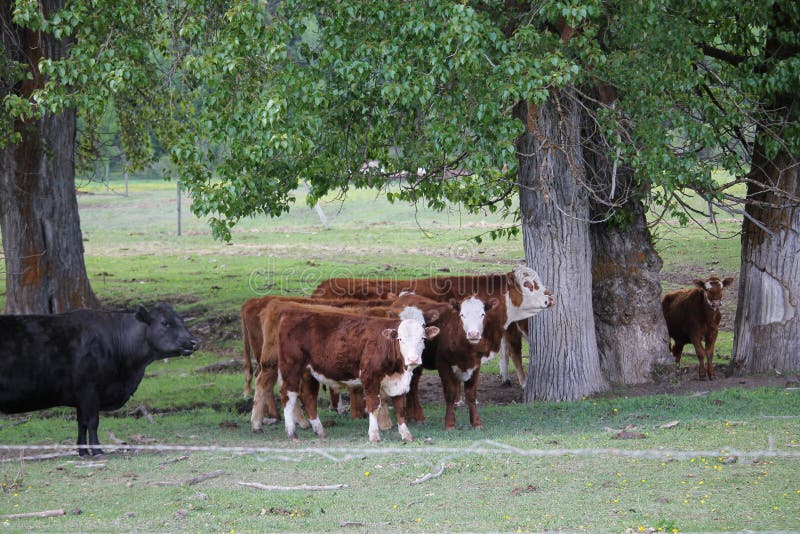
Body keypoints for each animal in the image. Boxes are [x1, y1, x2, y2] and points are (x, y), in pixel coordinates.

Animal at [0, 304, 198, 456]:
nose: (194, 342)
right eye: (165, 323)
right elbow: (93, 422)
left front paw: (82, 451)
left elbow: (82, 423)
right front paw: (97, 450)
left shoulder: (81, 397)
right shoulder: (90, 390)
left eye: (182, 320)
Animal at [268, 301, 438, 442]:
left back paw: (320, 431)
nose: (413, 359)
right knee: (288, 395)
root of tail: (289, 313)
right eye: (400, 339)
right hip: (291, 367)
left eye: (423, 338)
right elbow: (373, 405)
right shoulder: (370, 377)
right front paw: (374, 435)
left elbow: (400, 407)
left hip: (309, 372)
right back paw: (292, 433)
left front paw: (406, 434)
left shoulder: (398, 383)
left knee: (309, 397)